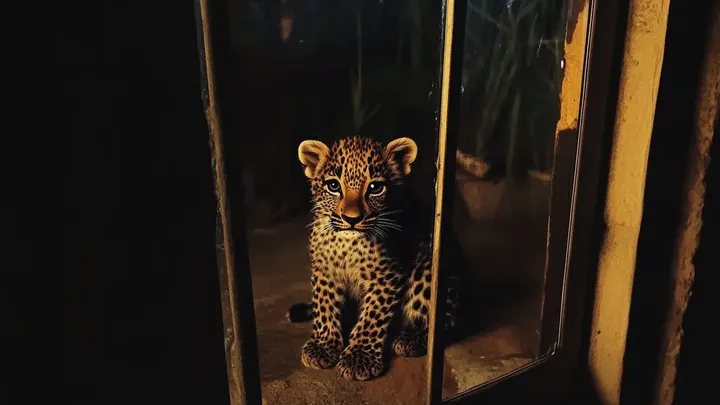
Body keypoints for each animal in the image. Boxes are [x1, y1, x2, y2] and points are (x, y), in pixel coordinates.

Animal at [288, 135, 465, 381]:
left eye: (375, 187)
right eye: (333, 186)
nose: (352, 219)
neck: (348, 244)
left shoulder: (386, 276)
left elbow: (372, 316)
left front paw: (359, 357)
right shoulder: (325, 270)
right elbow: (325, 306)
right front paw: (323, 346)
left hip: (426, 270)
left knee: (445, 321)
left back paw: (411, 339)